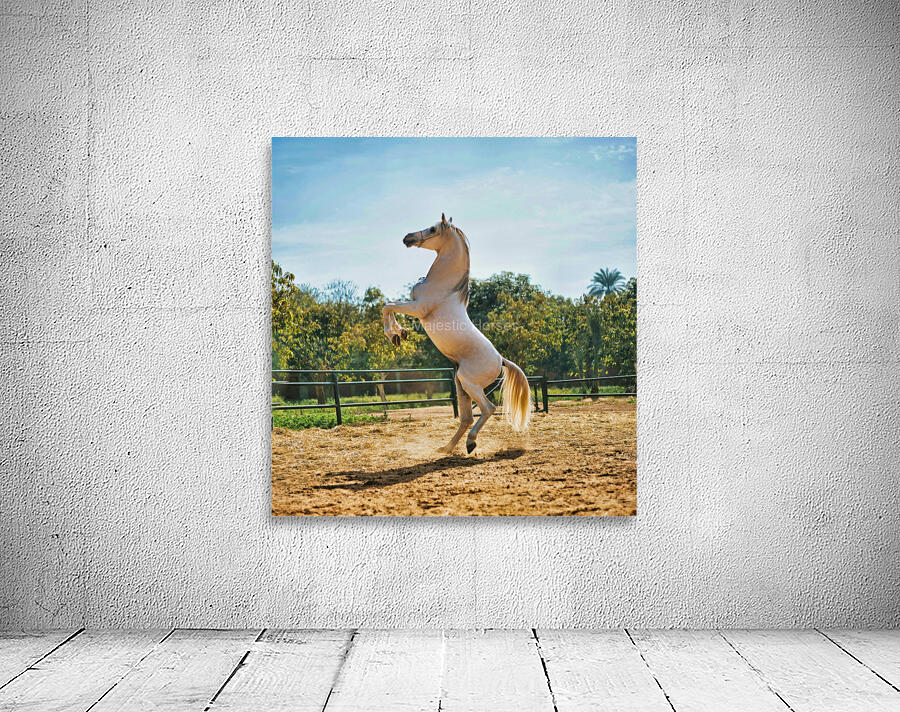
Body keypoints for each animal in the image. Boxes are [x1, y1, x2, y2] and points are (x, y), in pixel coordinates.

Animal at [382, 213, 531, 453]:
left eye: (433, 229)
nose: (408, 237)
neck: (443, 285)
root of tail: (501, 360)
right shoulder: (414, 306)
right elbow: (389, 306)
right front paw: (400, 334)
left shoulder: (418, 308)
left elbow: (387, 306)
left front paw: (394, 334)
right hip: (461, 386)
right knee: (467, 418)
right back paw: (447, 447)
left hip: (469, 383)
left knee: (488, 409)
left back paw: (470, 442)